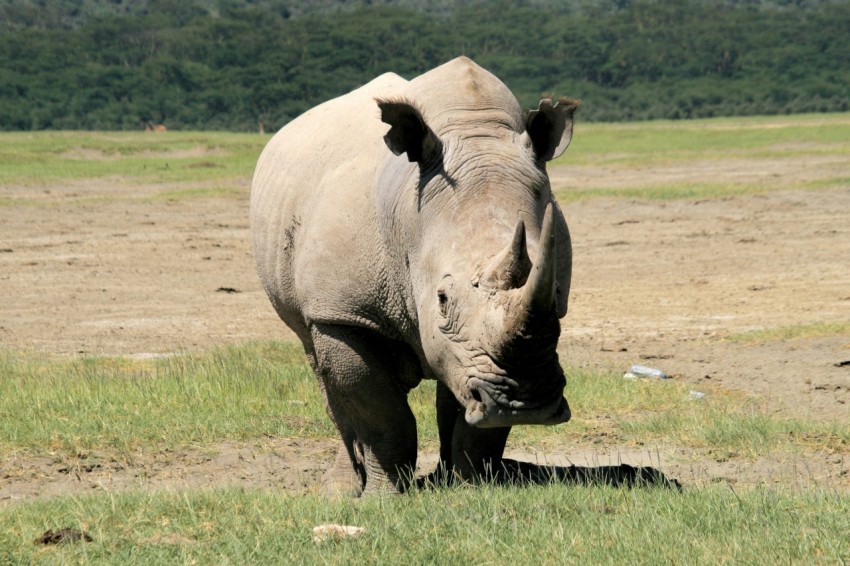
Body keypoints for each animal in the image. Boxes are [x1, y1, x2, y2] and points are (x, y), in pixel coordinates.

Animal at [251, 57, 578, 496]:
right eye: (442, 299)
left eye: (557, 294)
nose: (526, 402)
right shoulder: (344, 312)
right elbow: (381, 412)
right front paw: (383, 497)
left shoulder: (473, 350)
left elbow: (473, 423)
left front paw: (474, 486)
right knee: (321, 367)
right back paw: (339, 490)